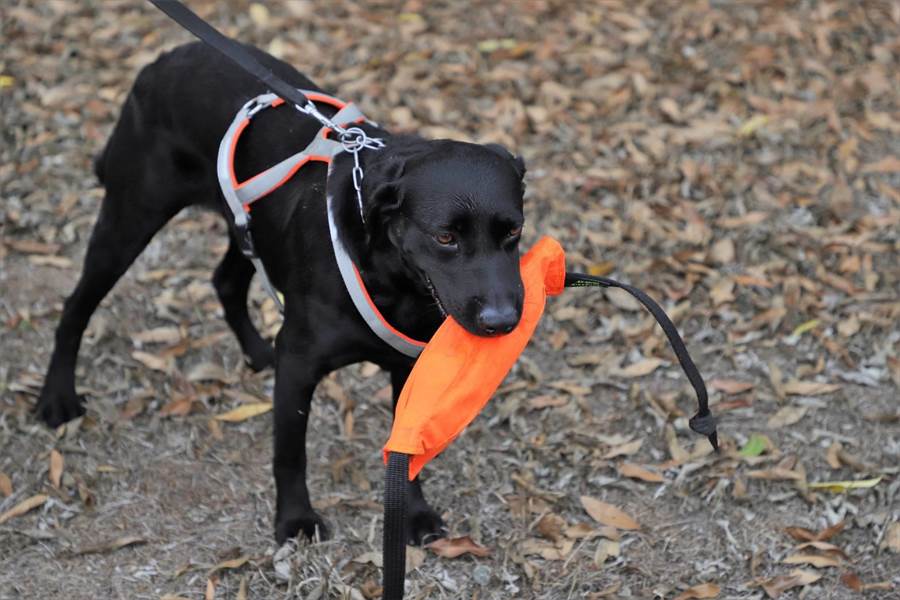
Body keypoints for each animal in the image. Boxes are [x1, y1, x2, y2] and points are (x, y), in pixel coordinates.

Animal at [38, 43, 528, 544]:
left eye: (513, 231)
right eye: (445, 237)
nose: (503, 321)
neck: (393, 279)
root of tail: (165, 57)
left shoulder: (409, 367)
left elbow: (405, 449)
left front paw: (411, 513)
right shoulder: (298, 364)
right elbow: (290, 454)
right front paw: (295, 520)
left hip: (246, 224)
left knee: (225, 281)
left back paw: (256, 352)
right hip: (130, 220)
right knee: (76, 306)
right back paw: (57, 397)